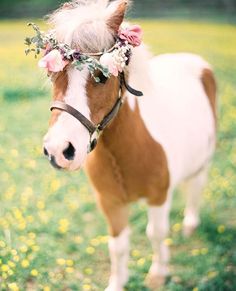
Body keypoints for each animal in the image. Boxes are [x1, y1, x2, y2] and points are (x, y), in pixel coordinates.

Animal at [38, 0, 216, 290]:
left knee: (196, 186)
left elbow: (156, 233)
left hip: (204, 161)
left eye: (101, 76)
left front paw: (158, 274)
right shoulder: (110, 202)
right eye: (52, 75)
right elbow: (118, 246)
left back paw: (190, 224)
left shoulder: (158, 197)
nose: (58, 150)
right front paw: (117, 282)